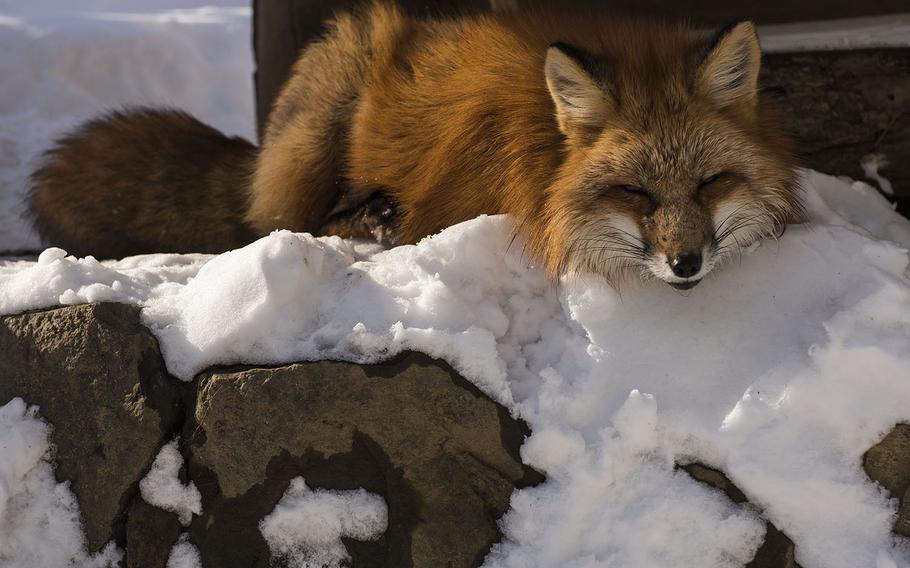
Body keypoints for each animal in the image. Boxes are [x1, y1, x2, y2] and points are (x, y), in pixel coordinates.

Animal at [26, 2, 804, 288]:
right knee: (281, 224)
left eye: (710, 183)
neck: (543, 158)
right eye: (633, 192)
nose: (685, 263)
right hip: (329, 116)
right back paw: (366, 220)